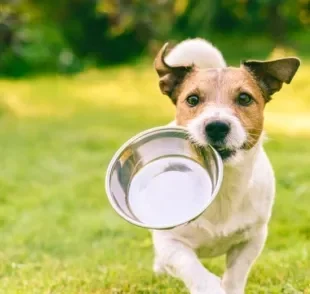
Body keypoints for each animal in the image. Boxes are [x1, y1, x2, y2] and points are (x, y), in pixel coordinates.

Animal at [151, 38, 300, 292]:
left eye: (244, 98)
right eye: (192, 100)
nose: (217, 126)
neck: (222, 185)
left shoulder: (253, 239)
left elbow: (235, 274)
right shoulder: (170, 242)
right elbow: (190, 267)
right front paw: (209, 286)